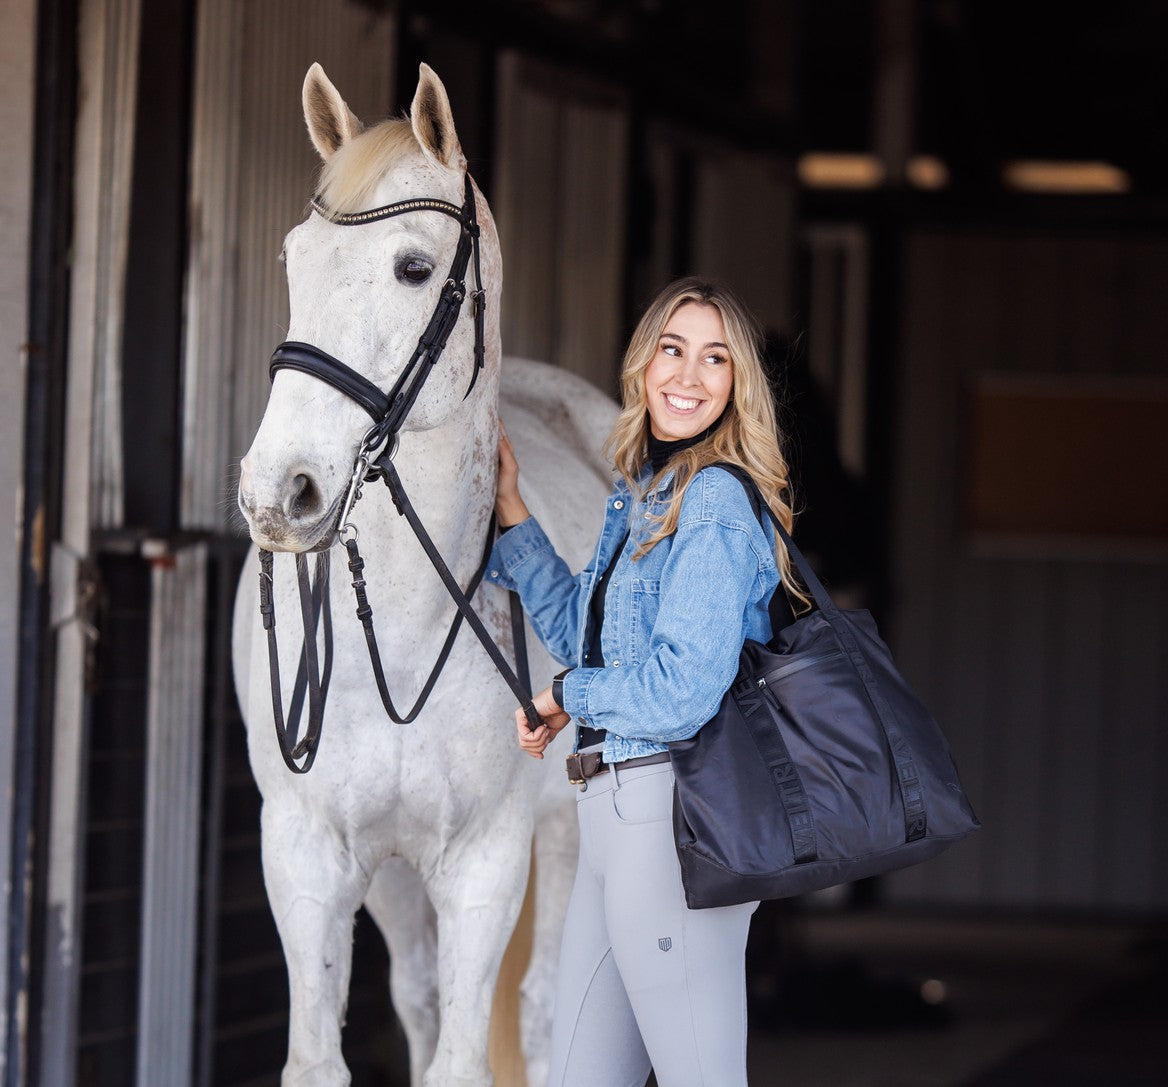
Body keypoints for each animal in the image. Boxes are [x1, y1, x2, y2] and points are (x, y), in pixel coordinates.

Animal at [232, 62, 617, 1086]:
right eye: (294, 260)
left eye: (411, 268)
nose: (278, 492)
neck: (402, 634)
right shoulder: (308, 857)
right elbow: (320, 1058)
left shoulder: (487, 863)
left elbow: (465, 1058)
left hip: (570, 842)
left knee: (544, 1005)